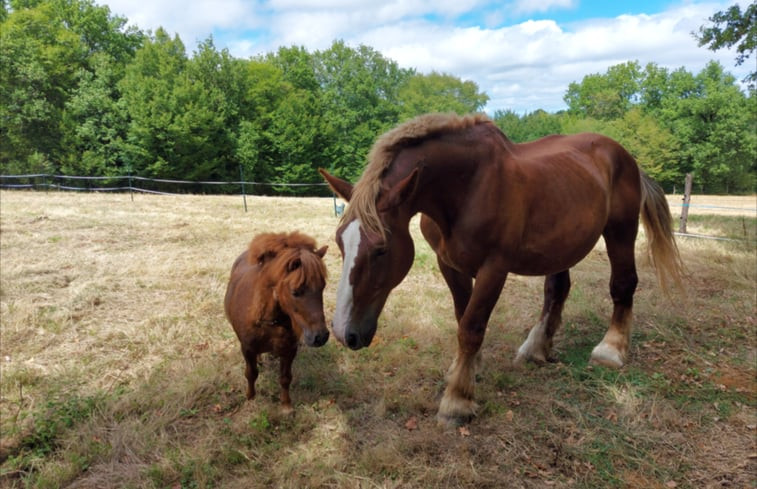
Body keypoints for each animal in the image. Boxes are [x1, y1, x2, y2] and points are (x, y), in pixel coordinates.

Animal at [226, 232, 330, 412]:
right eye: (295, 292)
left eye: (322, 287)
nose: (320, 337)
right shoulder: (247, 349)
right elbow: (251, 374)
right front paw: (251, 398)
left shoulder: (289, 350)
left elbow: (285, 378)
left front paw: (286, 405)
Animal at [316, 111, 684, 424]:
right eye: (339, 242)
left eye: (381, 249)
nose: (345, 333)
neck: (467, 187)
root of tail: (625, 157)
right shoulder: (448, 264)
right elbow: (461, 316)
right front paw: (468, 370)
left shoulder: (494, 268)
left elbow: (471, 327)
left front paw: (457, 401)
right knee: (557, 291)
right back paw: (537, 347)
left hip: (620, 231)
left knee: (623, 284)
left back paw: (611, 349)